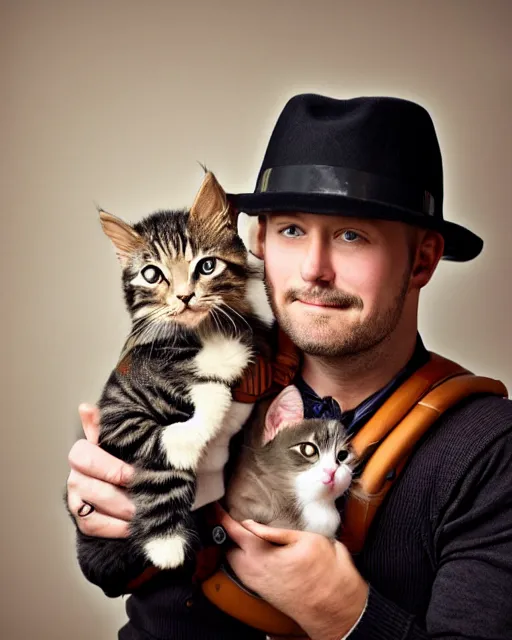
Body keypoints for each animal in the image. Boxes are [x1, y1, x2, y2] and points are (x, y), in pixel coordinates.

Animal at [76, 171, 272, 596]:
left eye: (207, 266)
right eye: (152, 274)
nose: (184, 296)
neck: (199, 332)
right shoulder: (117, 415)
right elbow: (164, 437)